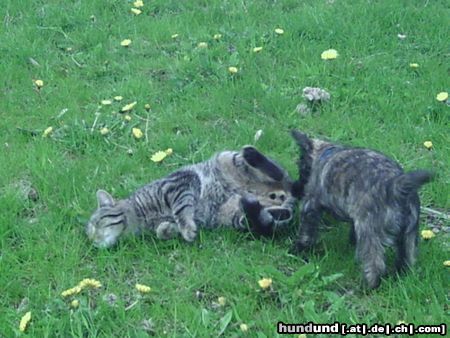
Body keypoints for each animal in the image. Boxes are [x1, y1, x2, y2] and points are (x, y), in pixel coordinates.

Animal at [87, 146, 296, 248]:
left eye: (98, 223)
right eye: (89, 235)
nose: (93, 241)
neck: (140, 216)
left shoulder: (178, 183)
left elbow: (180, 209)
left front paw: (186, 229)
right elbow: (163, 230)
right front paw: (169, 230)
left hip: (228, 159)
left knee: (279, 173)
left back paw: (253, 155)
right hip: (233, 216)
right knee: (268, 217)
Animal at [288, 129, 432, 288]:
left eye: (301, 169)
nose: (295, 189)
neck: (326, 153)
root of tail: (396, 186)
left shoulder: (310, 205)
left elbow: (306, 233)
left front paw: (298, 249)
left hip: (369, 232)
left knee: (375, 263)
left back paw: (367, 286)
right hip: (409, 236)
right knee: (407, 259)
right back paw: (400, 276)